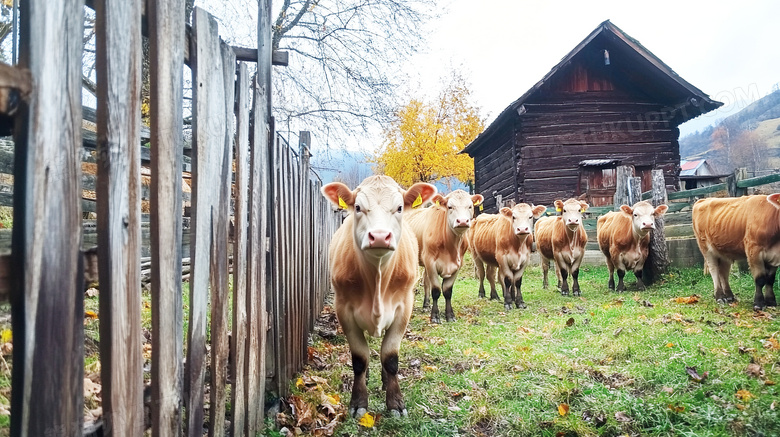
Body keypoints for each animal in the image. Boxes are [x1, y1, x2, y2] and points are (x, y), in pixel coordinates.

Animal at [318, 175, 438, 418]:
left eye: (399, 207)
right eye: (358, 207)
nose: (380, 237)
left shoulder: (404, 307)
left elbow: (390, 357)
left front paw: (395, 403)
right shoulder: (343, 308)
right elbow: (360, 359)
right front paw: (358, 402)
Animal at [406, 189, 484, 322]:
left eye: (470, 206)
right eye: (450, 207)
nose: (462, 221)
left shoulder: (457, 265)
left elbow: (447, 291)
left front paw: (450, 315)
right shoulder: (430, 262)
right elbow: (436, 290)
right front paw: (435, 316)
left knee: (425, 280)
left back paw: (426, 304)